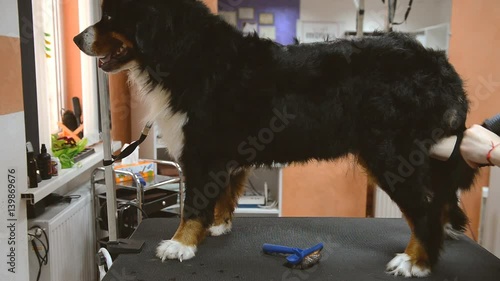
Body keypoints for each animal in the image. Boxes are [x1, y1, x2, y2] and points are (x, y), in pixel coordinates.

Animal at [73, 0, 476, 276]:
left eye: (111, 17)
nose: (78, 38)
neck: (185, 54)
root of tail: (439, 65)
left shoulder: (202, 150)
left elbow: (194, 204)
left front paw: (181, 243)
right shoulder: (225, 154)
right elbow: (223, 195)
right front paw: (217, 227)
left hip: (391, 154)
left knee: (423, 208)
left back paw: (416, 262)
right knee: (439, 200)